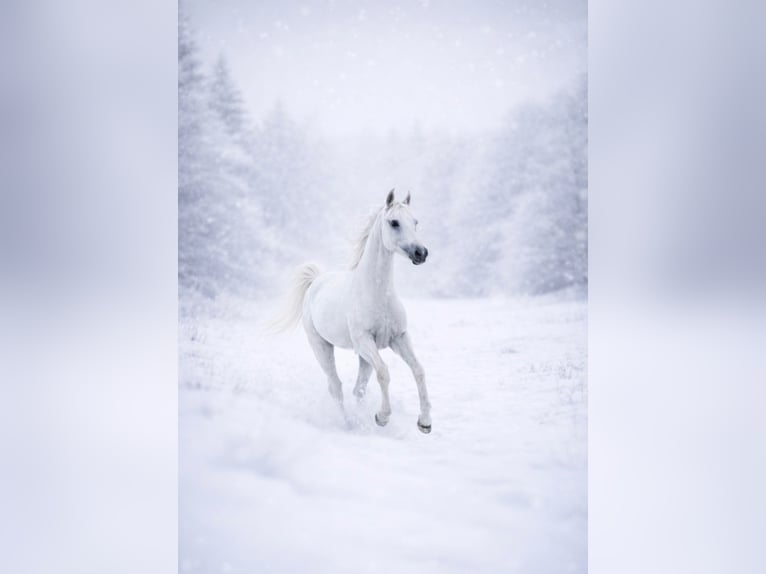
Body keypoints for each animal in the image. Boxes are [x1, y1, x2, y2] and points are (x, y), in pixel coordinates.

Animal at [272, 189, 432, 433]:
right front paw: (382, 417)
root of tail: (316, 281)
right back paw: (349, 423)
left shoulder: (398, 338)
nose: (421, 253)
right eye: (394, 222)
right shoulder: (364, 341)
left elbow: (419, 370)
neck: (378, 293)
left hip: (364, 357)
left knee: (358, 389)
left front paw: (425, 422)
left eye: (415, 222)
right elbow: (384, 373)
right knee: (336, 387)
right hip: (322, 347)